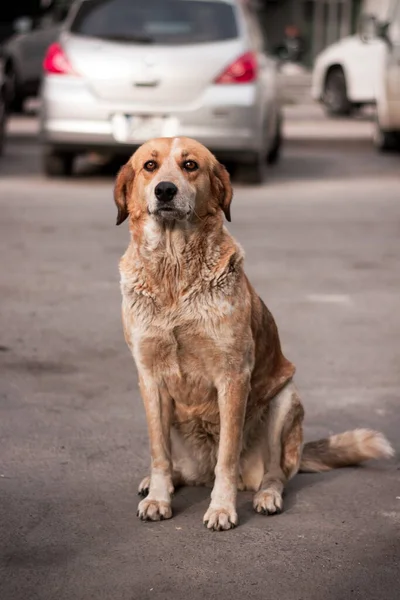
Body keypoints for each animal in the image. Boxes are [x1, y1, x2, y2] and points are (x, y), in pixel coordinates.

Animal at [113, 136, 394, 528]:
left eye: (190, 165)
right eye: (149, 166)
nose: (165, 190)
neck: (175, 272)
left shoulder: (233, 377)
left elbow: (227, 457)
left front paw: (221, 508)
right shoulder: (150, 379)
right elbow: (159, 454)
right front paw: (158, 497)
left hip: (284, 402)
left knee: (274, 473)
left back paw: (266, 496)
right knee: (181, 466)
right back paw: (162, 483)